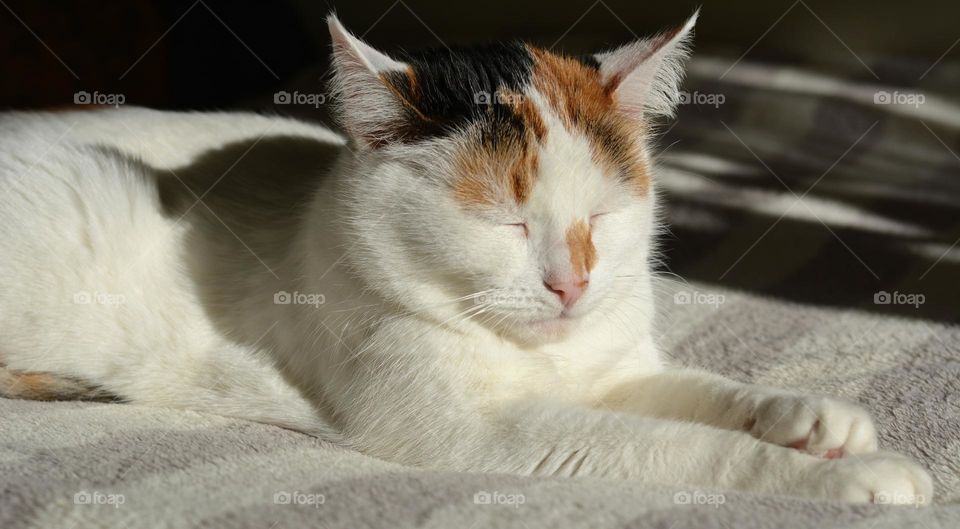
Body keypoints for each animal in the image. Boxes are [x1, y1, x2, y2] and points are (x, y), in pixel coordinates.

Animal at [0, 13, 928, 504]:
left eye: (600, 215)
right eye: (504, 222)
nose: (571, 283)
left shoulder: (615, 370)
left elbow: (712, 392)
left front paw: (816, 419)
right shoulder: (486, 434)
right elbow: (679, 446)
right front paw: (857, 478)